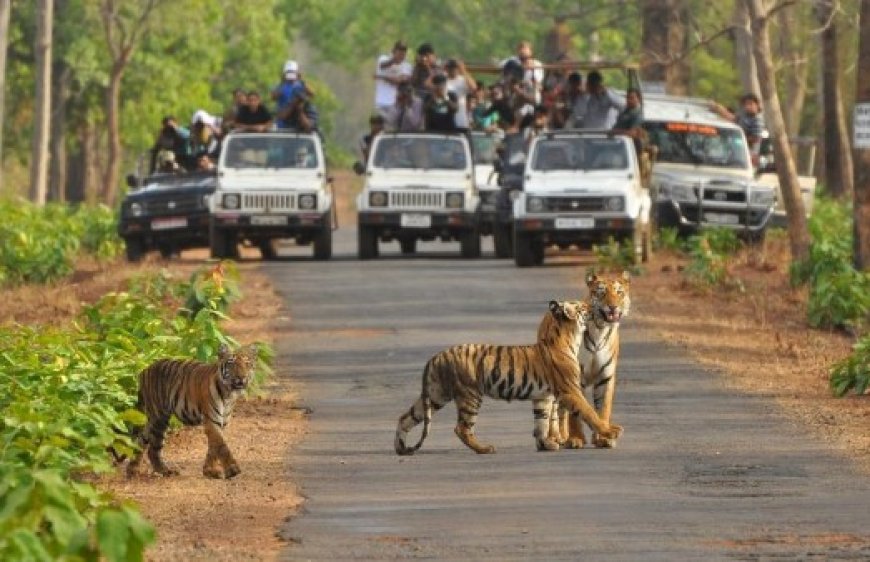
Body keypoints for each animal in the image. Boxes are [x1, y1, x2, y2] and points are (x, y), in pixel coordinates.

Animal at [125, 342, 258, 476]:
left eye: (247, 364)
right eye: (231, 363)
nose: (241, 377)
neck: (228, 394)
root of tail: (144, 370)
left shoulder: (222, 422)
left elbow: (213, 447)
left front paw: (210, 470)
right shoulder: (212, 420)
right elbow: (221, 445)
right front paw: (232, 469)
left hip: (152, 419)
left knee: (141, 441)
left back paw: (134, 470)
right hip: (158, 418)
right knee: (152, 448)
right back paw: (163, 470)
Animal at [392, 300, 624, 452]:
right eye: (583, 307)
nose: (596, 308)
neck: (568, 337)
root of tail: (437, 356)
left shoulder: (543, 397)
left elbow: (541, 421)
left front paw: (546, 444)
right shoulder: (570, 390)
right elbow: (589, 413)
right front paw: (611, 432)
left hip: (436, 394)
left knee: (406, 417)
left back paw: (400, 447)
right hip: (470, 395)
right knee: (462, 428)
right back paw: (485, 448)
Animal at [544, 270, 632, 448]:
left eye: (619, 292)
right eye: (602, 292)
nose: (613, 306)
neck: (600, 329)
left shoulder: (606, 377)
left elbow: (603, 408)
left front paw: (604, 438)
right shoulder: (574, 378)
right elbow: (576, 412)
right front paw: (576, 438)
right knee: (556, 410)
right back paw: (556, 438)